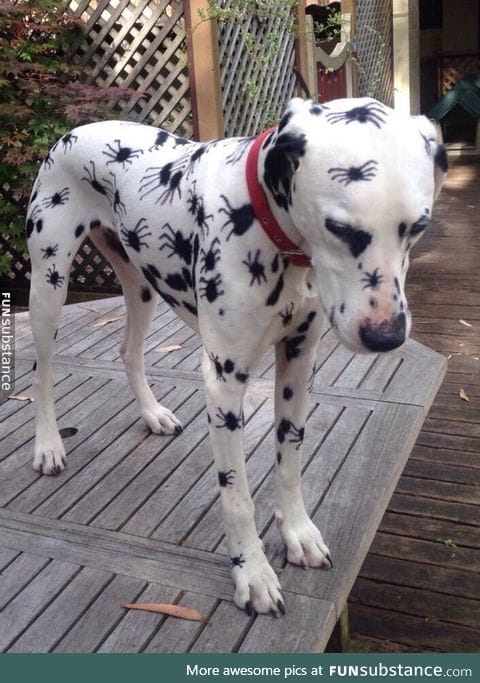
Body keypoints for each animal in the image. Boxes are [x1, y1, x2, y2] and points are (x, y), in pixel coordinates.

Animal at [25, 99, 446, 616]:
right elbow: (237, 496)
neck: (271, 233)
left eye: (418, 227)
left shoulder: (297, 365)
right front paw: (253, 572)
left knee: (128, 352)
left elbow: (289, 461)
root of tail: (75, 131)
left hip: (140, 286)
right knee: (41, 372)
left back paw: (152, 413)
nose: (386, 336)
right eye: (340, 228)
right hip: (48, 287)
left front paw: (297, 532)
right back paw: (47, 444)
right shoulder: (224, 384)